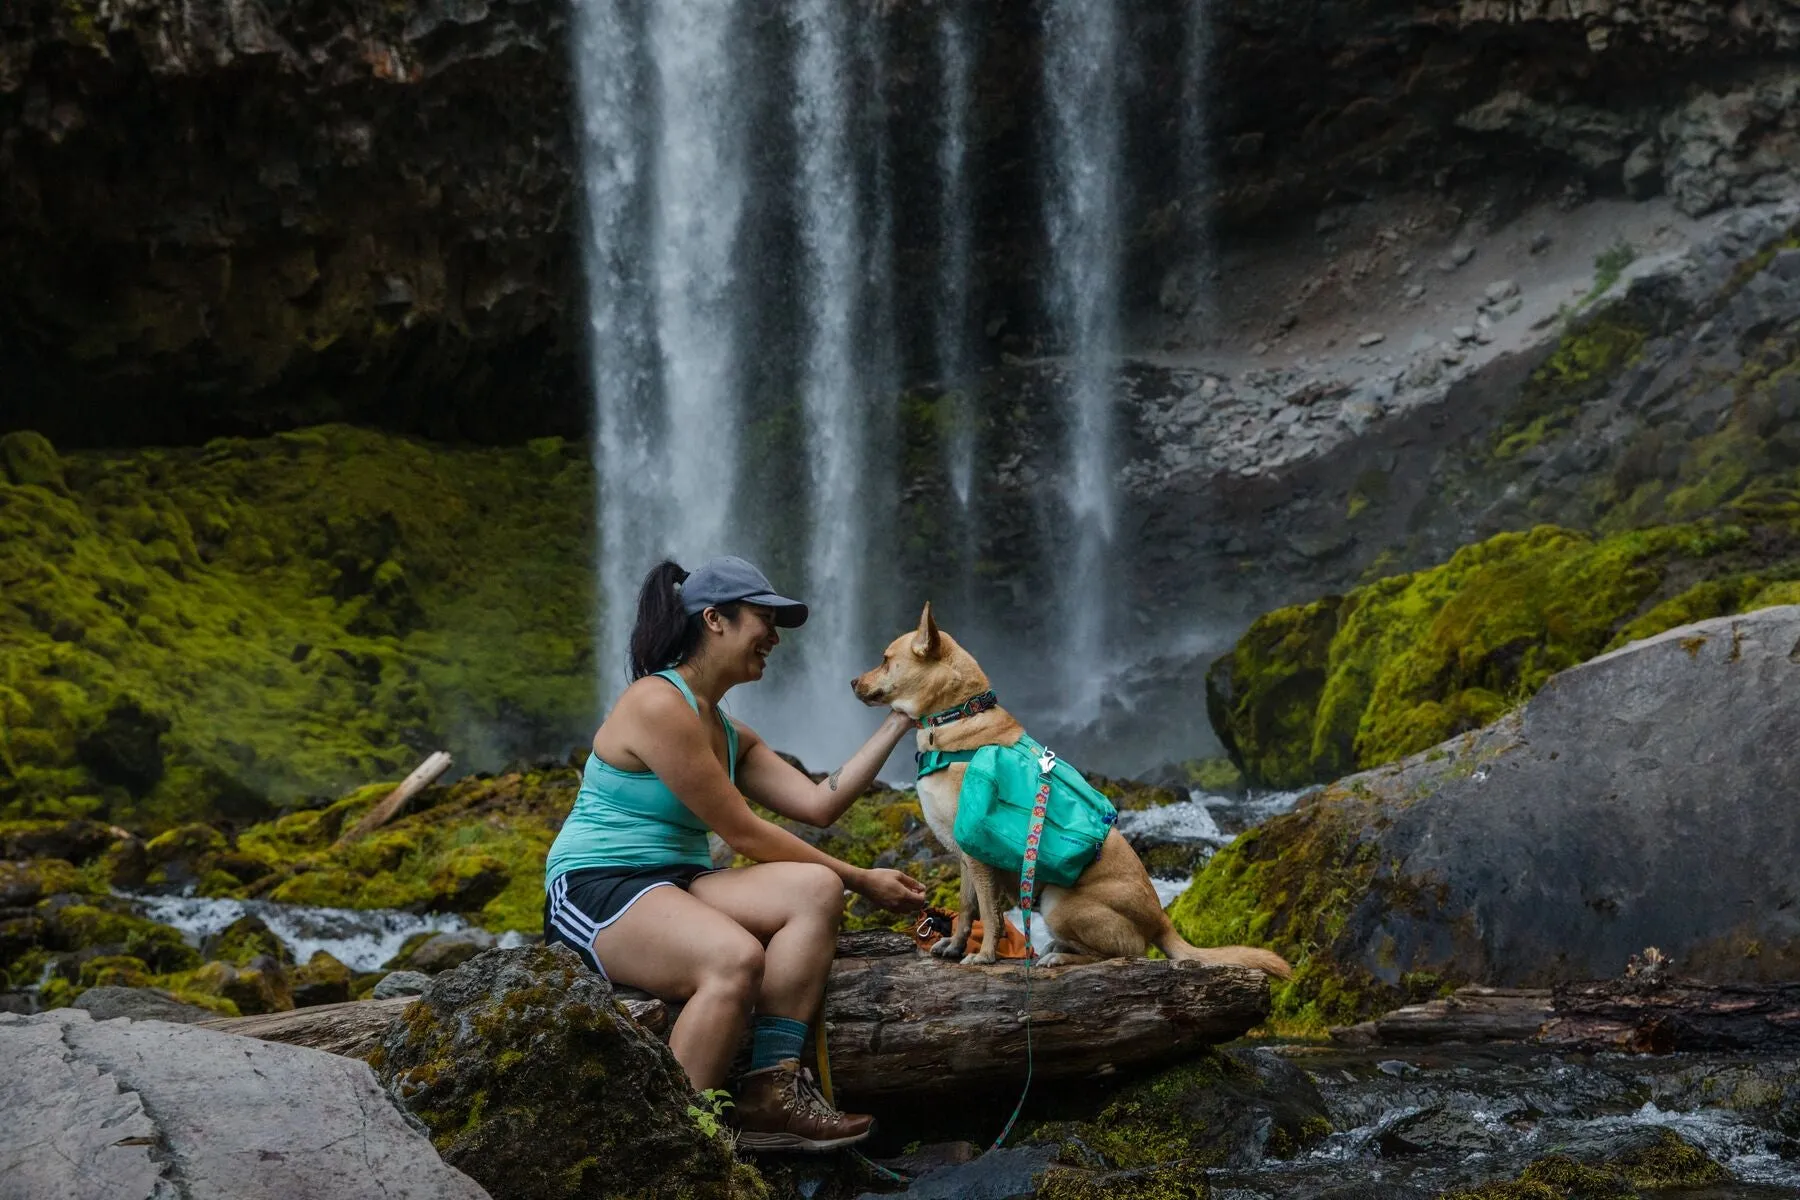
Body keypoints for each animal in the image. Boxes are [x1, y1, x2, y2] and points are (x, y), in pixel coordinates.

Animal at [856, 604, 1296, 978]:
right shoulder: (965, 857)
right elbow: (967, 910)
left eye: (884, 658)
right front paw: (954, 946)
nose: (851, 681)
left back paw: (1059, 957)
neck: (956, 718)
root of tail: (1161, 919)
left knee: (1122, 952)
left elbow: (990, 915)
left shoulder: (979, 858)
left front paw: (985, 955)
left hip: (1058, 901)